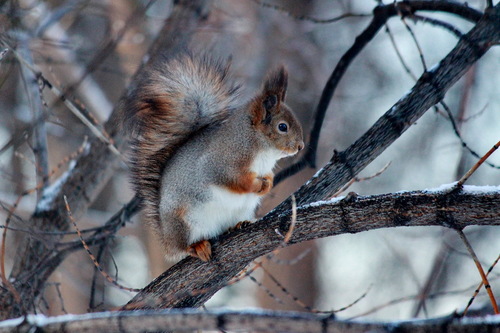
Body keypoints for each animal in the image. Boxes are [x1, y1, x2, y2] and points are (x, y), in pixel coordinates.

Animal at [122, 53, 302, 260]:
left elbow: (268, 177)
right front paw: (256, 185)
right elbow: (234, 180)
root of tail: (167, 241)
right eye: (283, 127)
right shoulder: (220, 164)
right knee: (183, 247)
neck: (259, 148)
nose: (300, 146)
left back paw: (239, 224)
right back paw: (196, 246)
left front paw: (267, 184)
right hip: (184, 223)